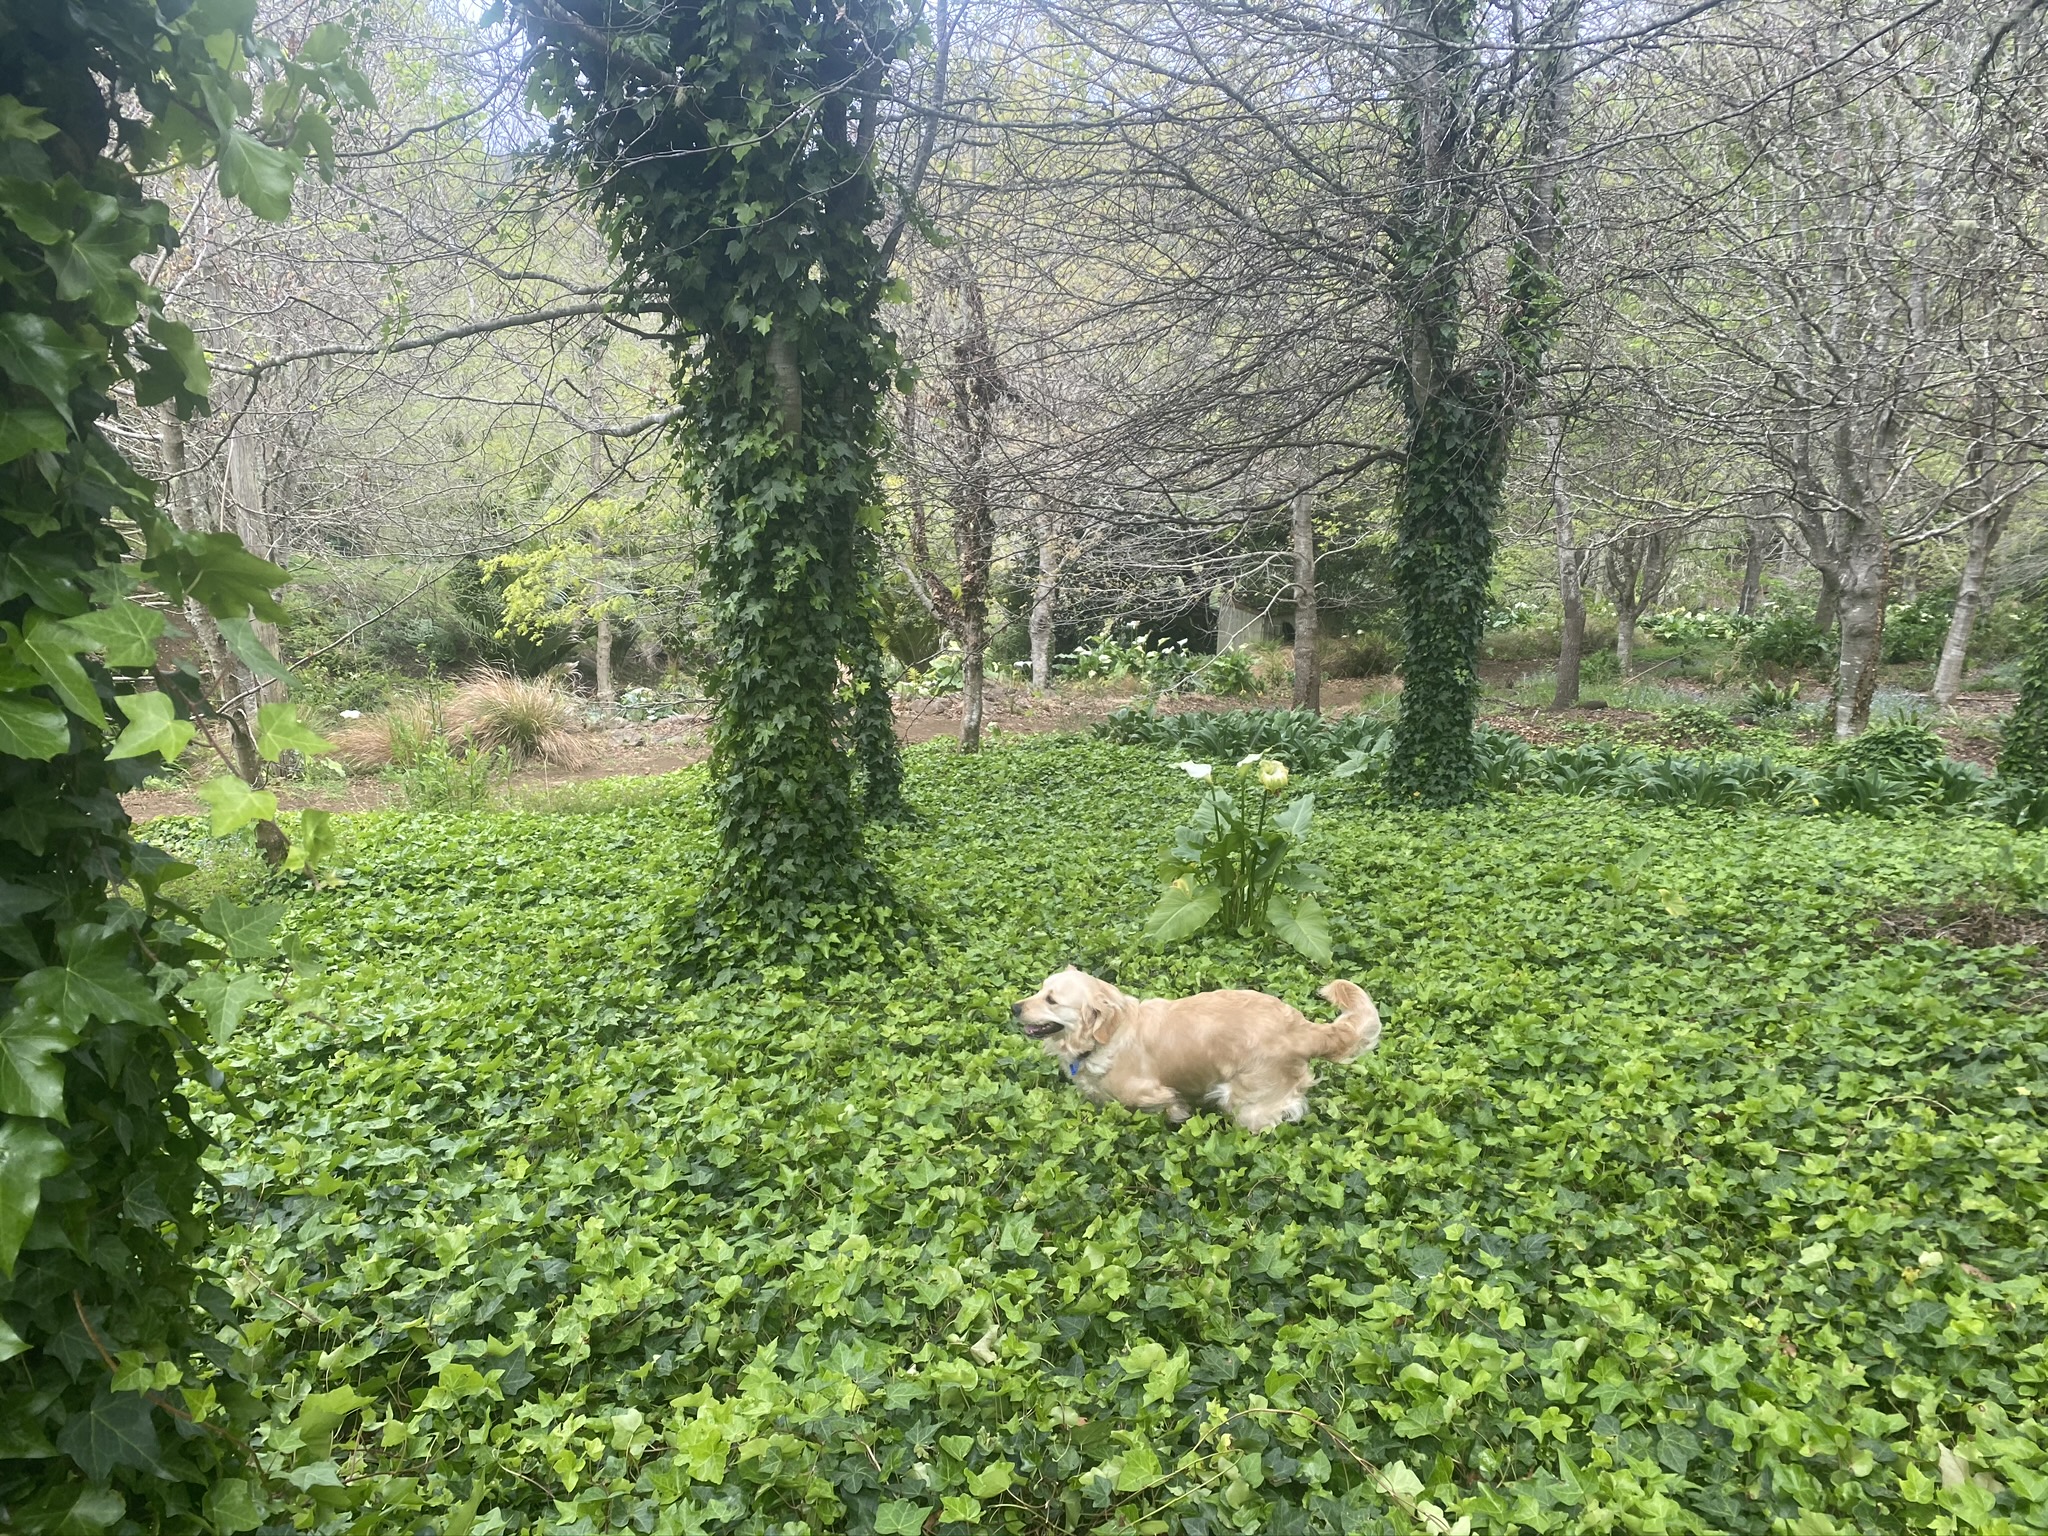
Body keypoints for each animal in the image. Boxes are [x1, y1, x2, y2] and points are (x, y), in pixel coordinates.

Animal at [1007, 966, 1376, 1138]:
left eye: (1052, 1000)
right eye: (1039, 989)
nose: (1014, 1007)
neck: (1105, 1037)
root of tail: (1302, 1029)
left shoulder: (1154, 1093)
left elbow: (1170, 1108)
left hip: (1246, 1101)